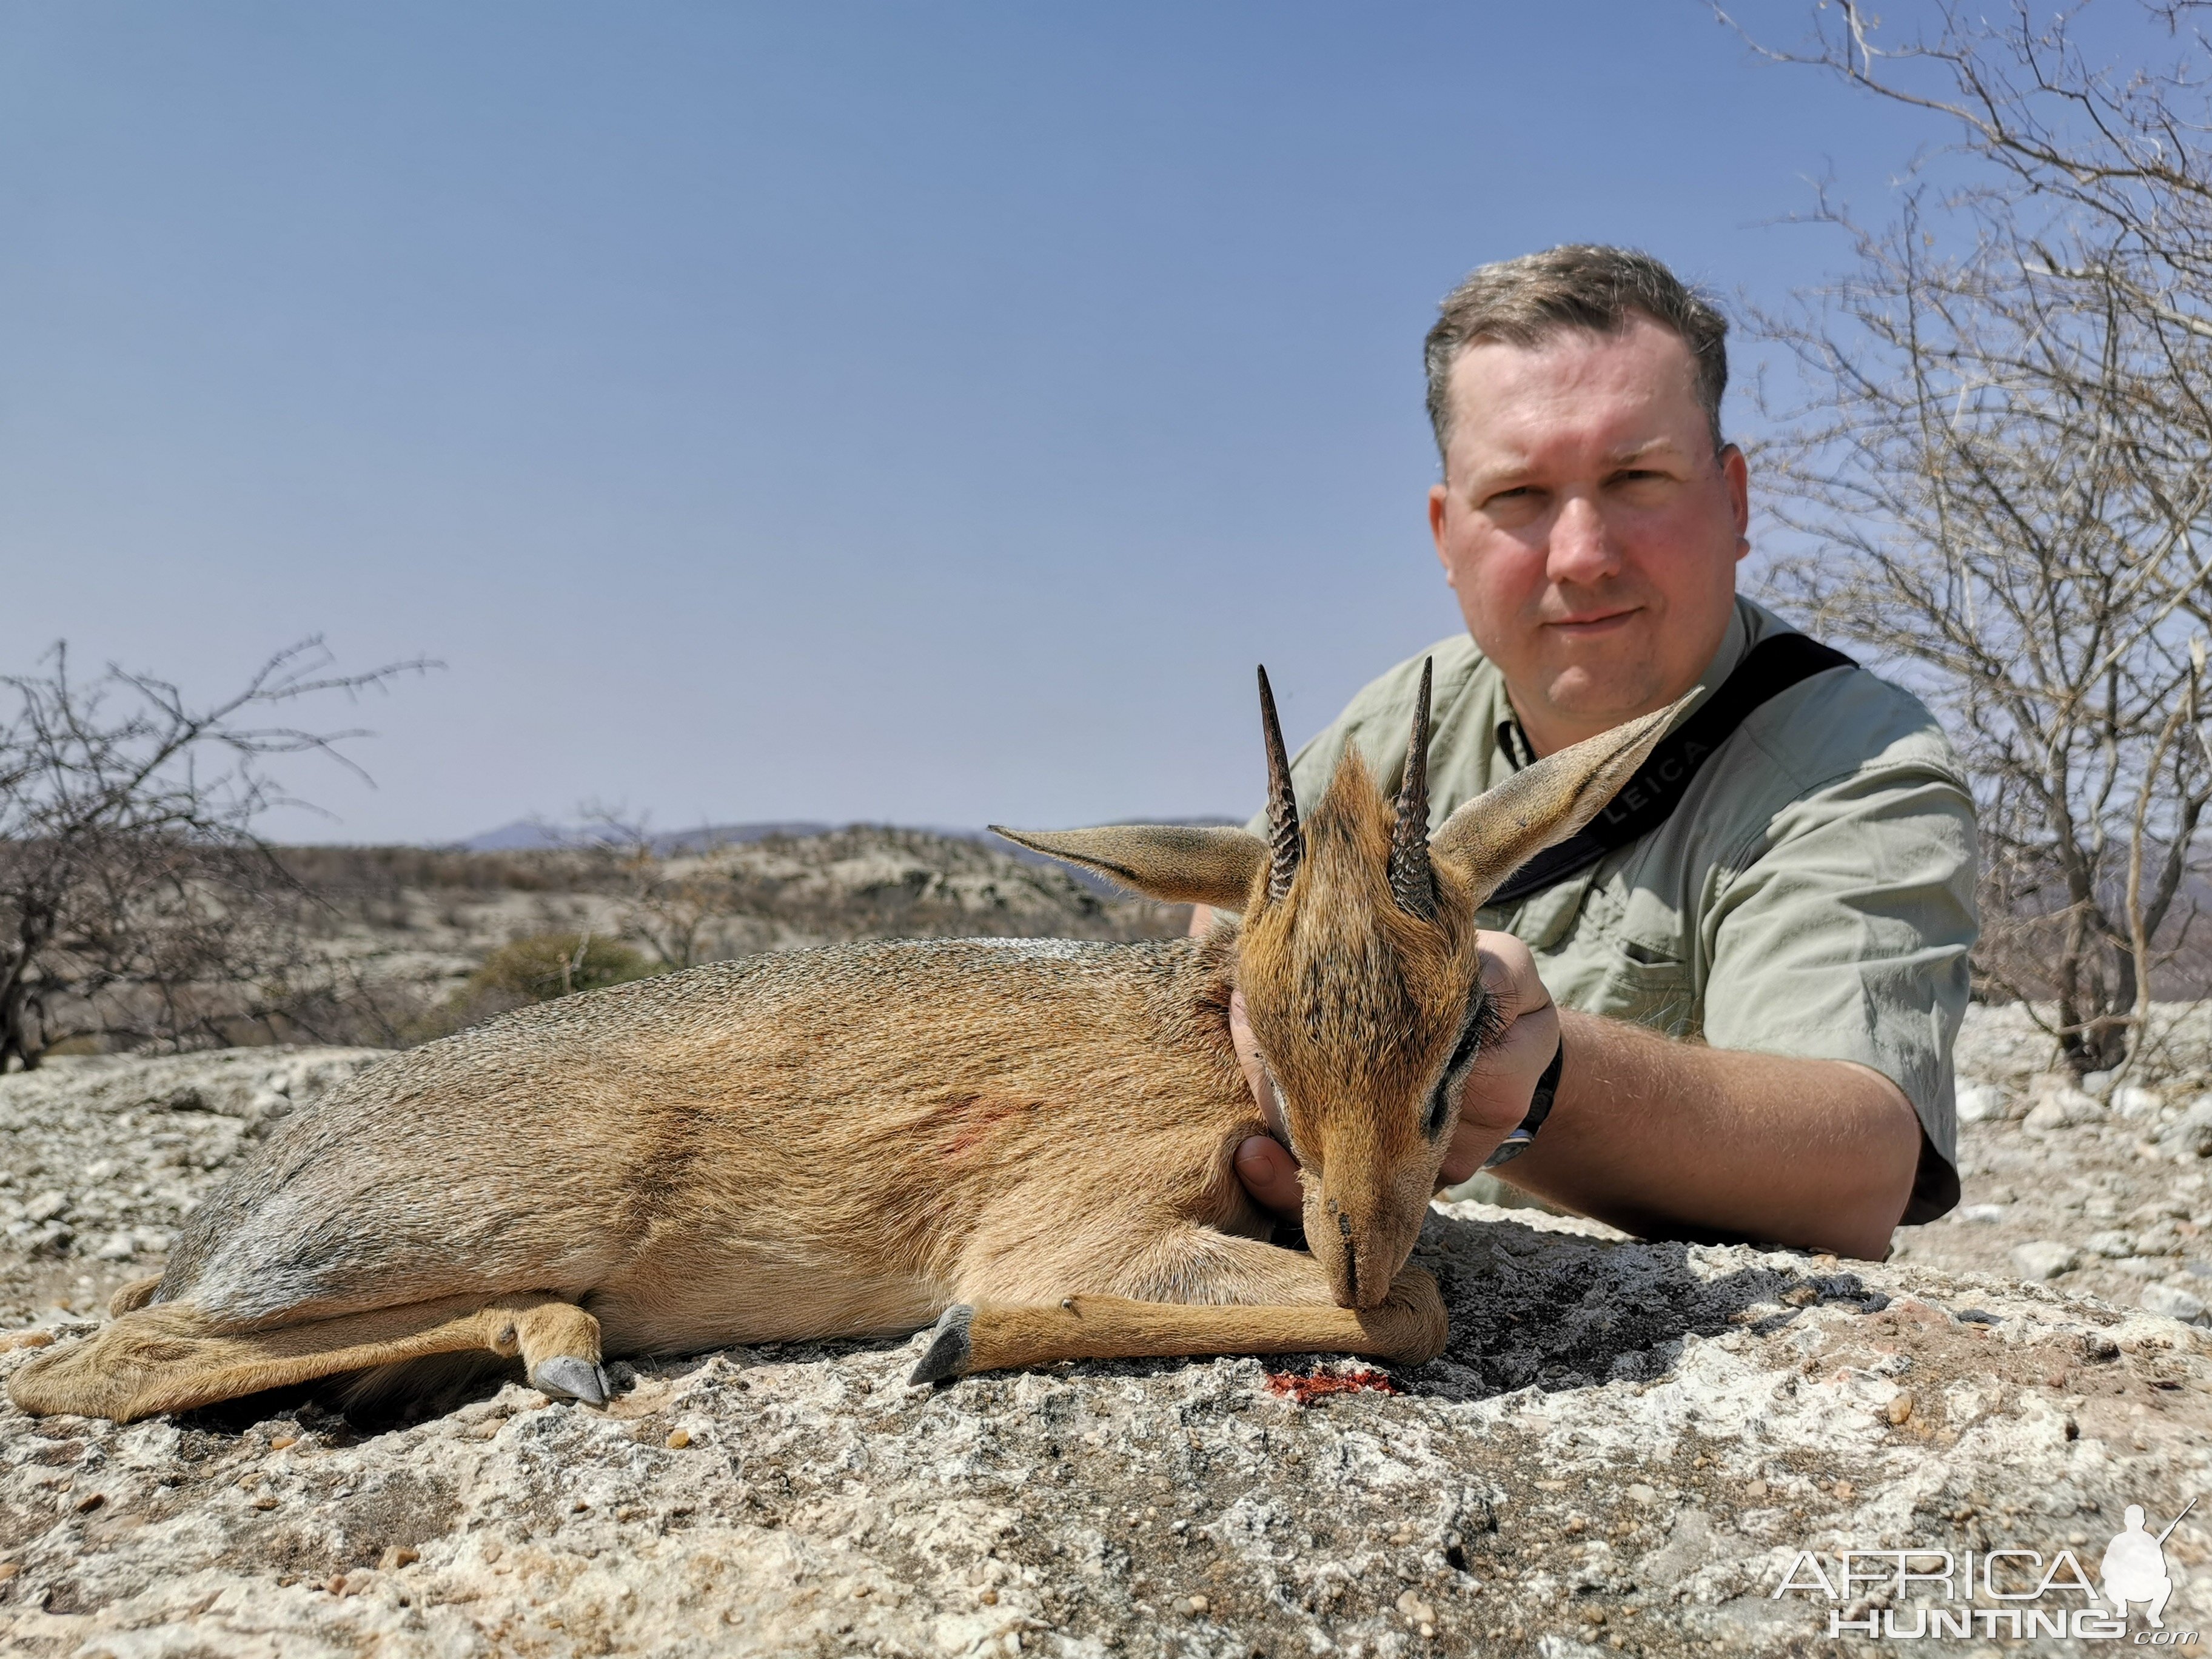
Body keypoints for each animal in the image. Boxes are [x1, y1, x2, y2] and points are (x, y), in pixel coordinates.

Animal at [8, 668, 1672, 1424]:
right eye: (1268, 1034)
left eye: (1463, 1042)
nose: (1360, 1241)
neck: (1188, 1047)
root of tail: (226, 1213)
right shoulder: (1074, 1225)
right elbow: (1421, 1319)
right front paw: (954, 1340)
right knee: (93, 1361)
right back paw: (558, 1345)